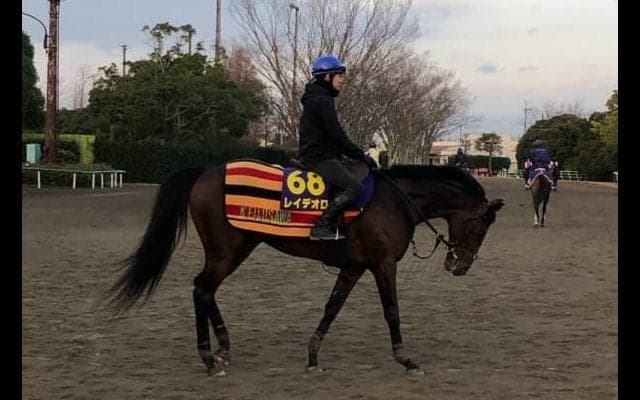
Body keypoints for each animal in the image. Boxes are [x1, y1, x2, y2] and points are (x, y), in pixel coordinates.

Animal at [109, 161, 505, 376]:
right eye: (481, 225)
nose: (460, 265)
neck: (394, 200)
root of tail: (207, 171)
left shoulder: (354, 266)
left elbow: (332, 308)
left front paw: (313, 357)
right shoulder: (382, 264)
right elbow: (391, 311)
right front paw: (406, 360)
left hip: (237, 249)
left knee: (205, 290)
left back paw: (222, 347)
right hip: (227, 251)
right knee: (202, 288)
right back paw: (210, 357)